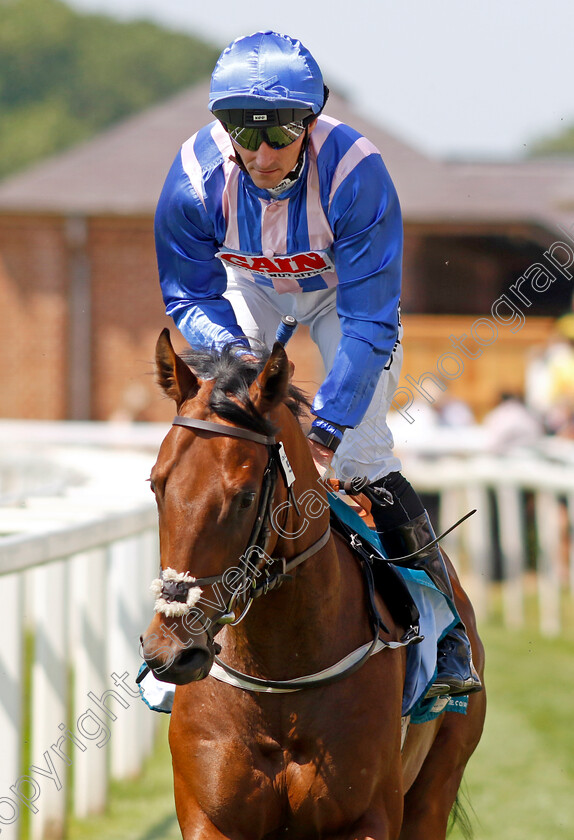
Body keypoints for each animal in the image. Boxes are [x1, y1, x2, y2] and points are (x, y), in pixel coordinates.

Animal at [140, 330, 486, 840]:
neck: (280, 676)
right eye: (156, 484)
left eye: (244, 497)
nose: (170, 649)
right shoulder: (208, 817)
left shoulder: (368, 816)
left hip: (435, 787)